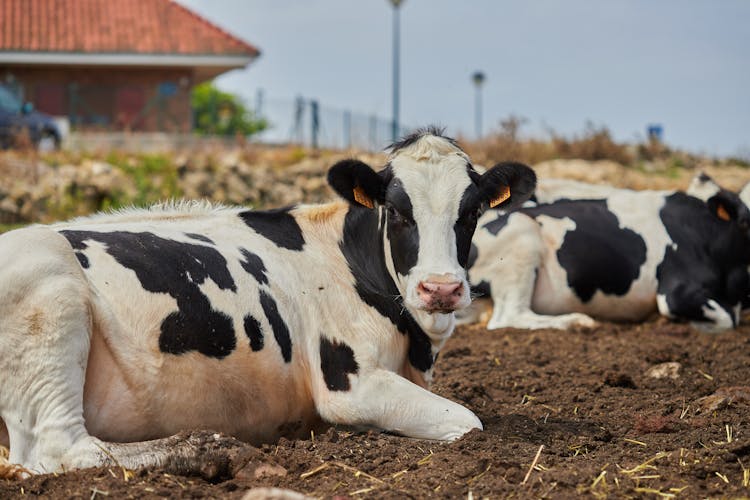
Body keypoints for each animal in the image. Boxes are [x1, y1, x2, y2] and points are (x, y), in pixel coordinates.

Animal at [0, 129, 540, 476]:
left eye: (472, 212)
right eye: (397, 210)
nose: (441, 289)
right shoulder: (349, 385)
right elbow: (469, 421)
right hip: (51, 298)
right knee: (59, 450)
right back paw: (207, 449)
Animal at [470, 176, 750, 332]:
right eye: (747, 220)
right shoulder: (675, 294)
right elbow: (729, 319)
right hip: (522, 235)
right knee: (510, 315)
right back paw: (577, 322)